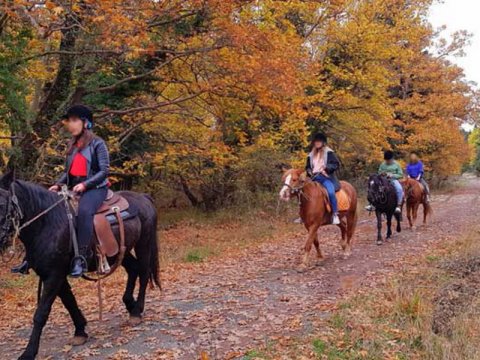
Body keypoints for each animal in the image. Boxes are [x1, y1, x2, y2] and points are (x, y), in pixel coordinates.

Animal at [0, 170, 160, 358]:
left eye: (2, 203)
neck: (48, 223)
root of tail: (143, 197)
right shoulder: (53, 274)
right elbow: (70, 302)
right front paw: (80, 331)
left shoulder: (54, 275)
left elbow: (41, 313)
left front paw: (29, 352)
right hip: (120, 251)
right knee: (133, 269)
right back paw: (129, 303)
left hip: (143, 244)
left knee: (143, 272)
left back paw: (136, 311)